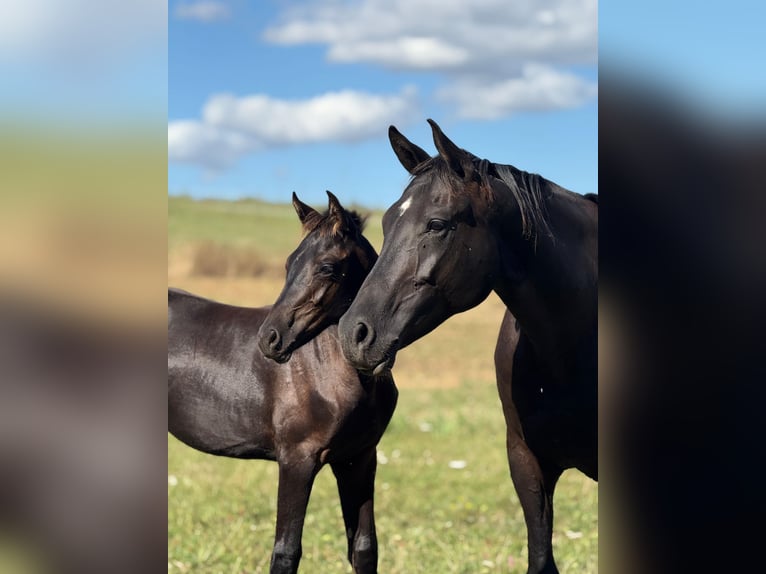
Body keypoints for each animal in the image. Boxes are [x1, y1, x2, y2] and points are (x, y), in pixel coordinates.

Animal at [168, 191, 397, 574]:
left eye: (327, 267)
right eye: (289, 264)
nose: (270, 339)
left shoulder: (359, 459)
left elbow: (364, 548)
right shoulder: (297, 460)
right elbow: (286, 551)